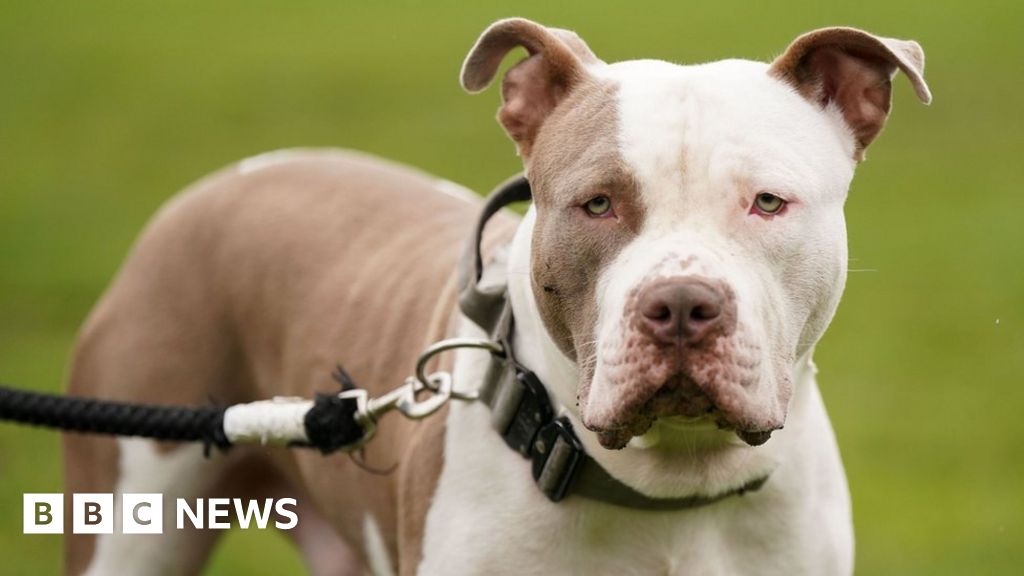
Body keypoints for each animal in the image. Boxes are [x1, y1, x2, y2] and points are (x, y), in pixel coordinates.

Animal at [61, 16, 929, 573]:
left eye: (768, 203)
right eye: (597, 204)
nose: (682, 305)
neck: (671, 495)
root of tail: (226, 180)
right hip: (130, 515)